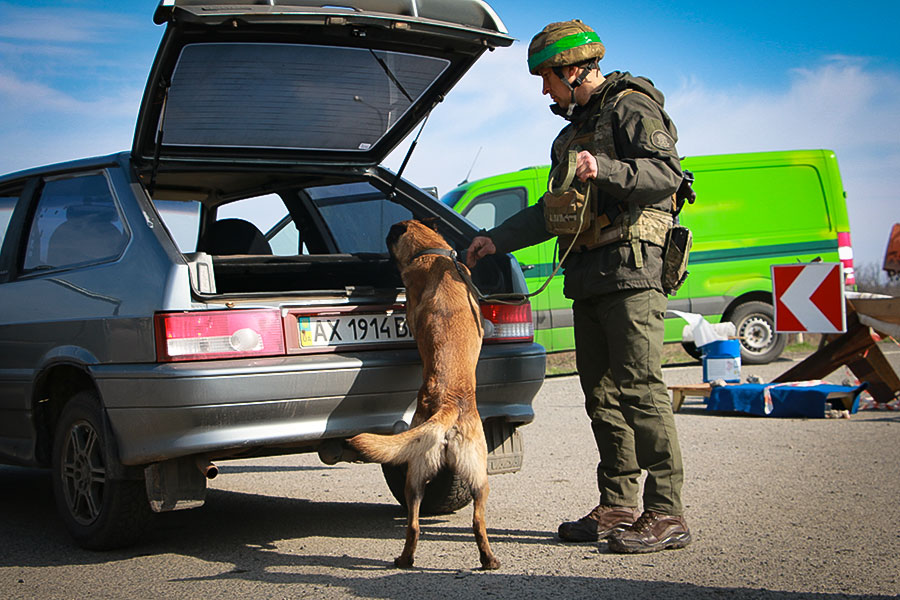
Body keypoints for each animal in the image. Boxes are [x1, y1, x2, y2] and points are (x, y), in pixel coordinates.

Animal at [348, 218, 500, 568]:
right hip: (476, 479)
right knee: (470, 521)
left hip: (414, 474)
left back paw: (405, 559)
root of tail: (450, 406)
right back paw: (487, 559)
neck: (435, 253)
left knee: (414, 523)